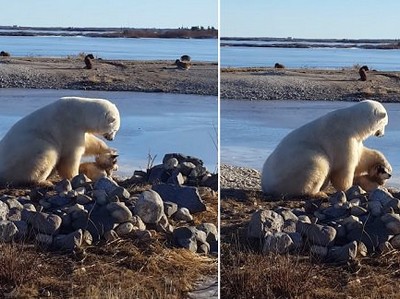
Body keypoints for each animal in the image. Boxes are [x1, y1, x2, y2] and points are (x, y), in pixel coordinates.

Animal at [260, 101, 390, 198]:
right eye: (385, 123)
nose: (382, 134)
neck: (352, 123)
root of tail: (265, 184)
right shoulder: (341, 139)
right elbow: (344, 167)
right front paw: (350, 188)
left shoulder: (355, 140)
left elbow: (362, 157)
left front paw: (384, 165)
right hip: (295, 166)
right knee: (318, 164)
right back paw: (318, 193)